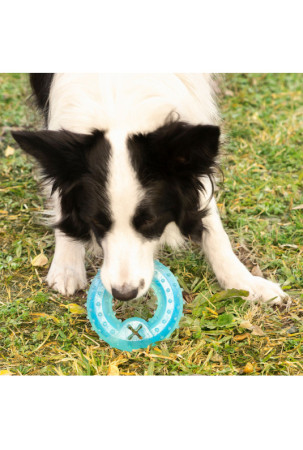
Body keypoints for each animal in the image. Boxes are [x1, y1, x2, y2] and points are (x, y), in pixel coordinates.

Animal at [11, 74, 288, 306]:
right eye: (96, 222)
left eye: (149, 220)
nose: (124, 294)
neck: (119, 107)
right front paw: (67, 264)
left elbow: (213, 226)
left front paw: (245, 283)